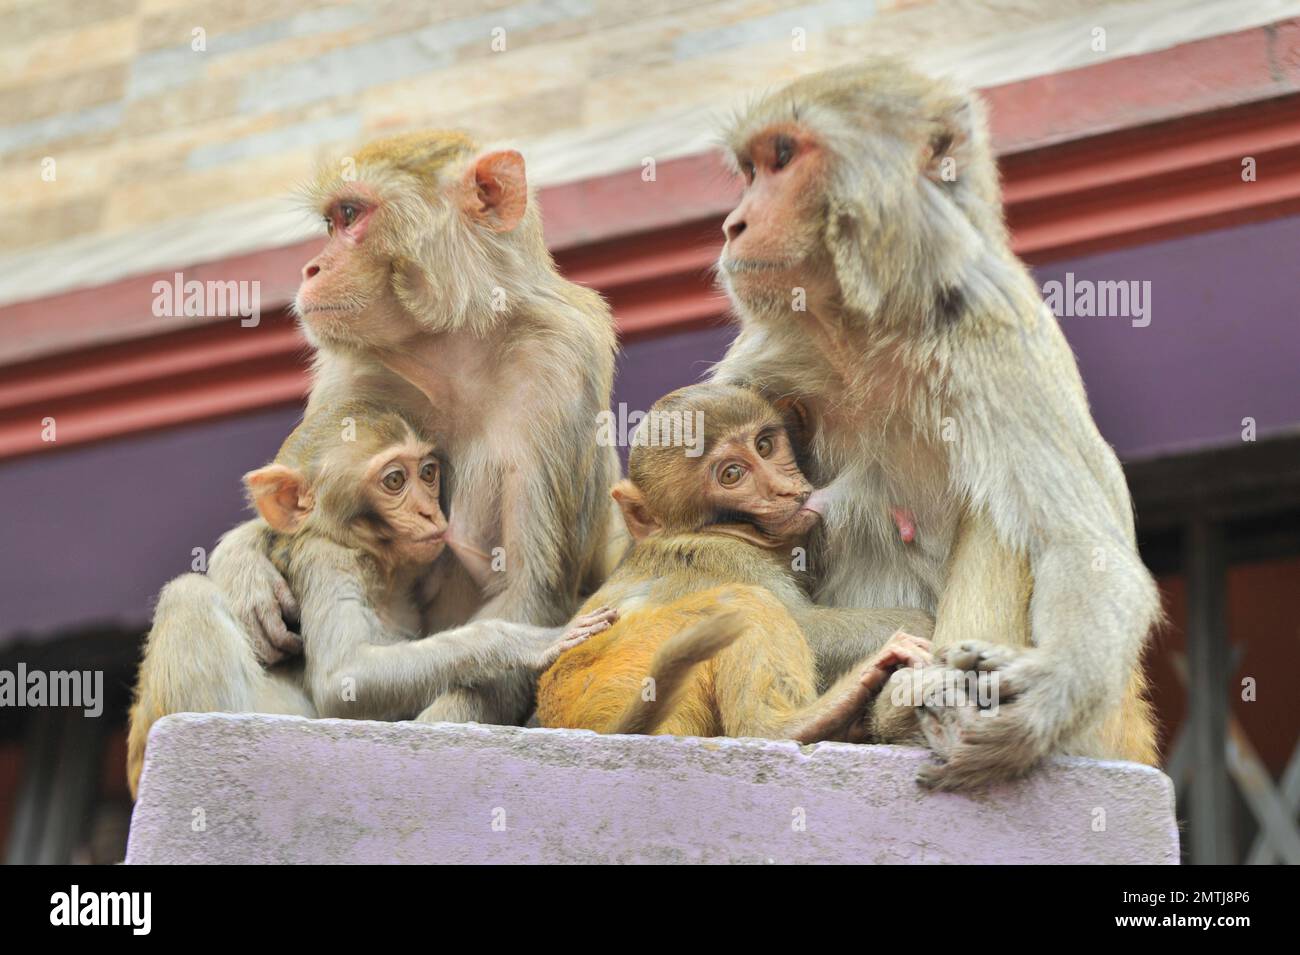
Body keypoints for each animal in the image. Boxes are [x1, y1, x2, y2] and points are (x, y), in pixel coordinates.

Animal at [127, 399, 616, 797]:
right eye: (395, 480)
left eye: (428, 472)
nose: (429, 511)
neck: (375, 560)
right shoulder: (326, 560)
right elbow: (343, 678)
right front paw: (525, 641)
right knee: (188, 594)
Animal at [200, 131, 623, 727]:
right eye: (331, 222)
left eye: (350, 215)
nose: (310, 269)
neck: (451, 348)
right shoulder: (353, 368)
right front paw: (244, 566)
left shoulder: (559, 360)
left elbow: (527, 591)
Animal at [536, 382, 934, 743]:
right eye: (732, 474)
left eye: (764, 446)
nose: (783, 488)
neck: (726, 531)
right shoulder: (725, 557)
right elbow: (807, 627)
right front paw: (926, 623)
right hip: (628, 665)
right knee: (744, 602)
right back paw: (795, 725)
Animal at [710, 58, 1159, 789]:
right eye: (750, 169)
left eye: (782, 157)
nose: (733, 224)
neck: (868, 330)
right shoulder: (764, 364)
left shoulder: (1000, 336)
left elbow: (1081, 545)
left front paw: (1051, 688)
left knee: (1005, 511)